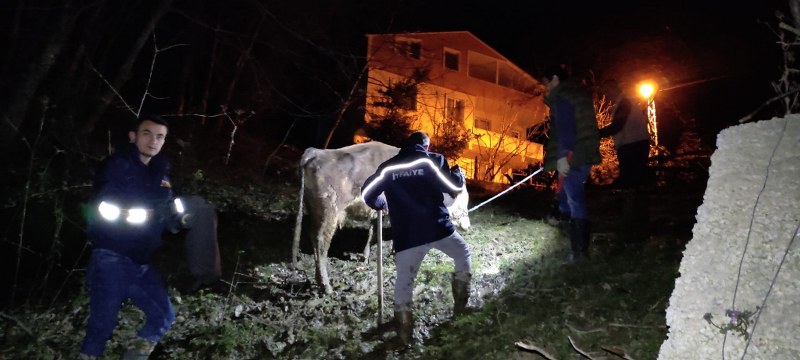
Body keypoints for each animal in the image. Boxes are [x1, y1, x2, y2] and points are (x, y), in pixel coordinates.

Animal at [292, 140, 468, 292]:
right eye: (462, 201)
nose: (467, 225)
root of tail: (314, 152)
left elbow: (373, 233)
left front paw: (367, 257)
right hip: (330, 212)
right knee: (321, 241)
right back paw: (326, 285)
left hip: (316, 210)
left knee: (312, 235)